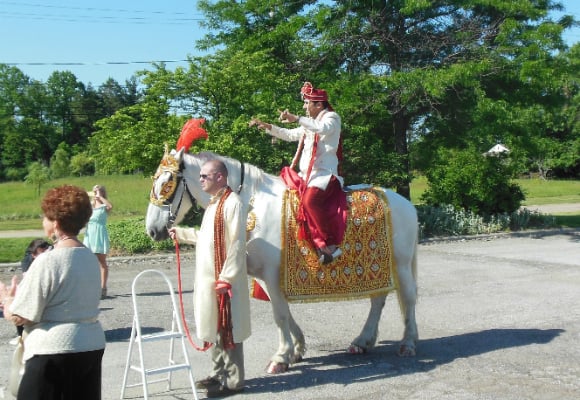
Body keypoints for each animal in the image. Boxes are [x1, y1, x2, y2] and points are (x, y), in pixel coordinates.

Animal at [144, 148, 416, 374]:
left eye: (167, 184)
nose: (152, 230)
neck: (251, 205)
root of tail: (405, 203)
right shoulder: (264, 276)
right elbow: (284, 311)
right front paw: (297, 348)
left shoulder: (273, 274)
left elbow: (280, 314)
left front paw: (281, 358)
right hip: (380, 265)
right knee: (378, 300)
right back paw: (362, 341)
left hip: (400, 266)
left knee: (408, 299)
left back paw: (408, 343)